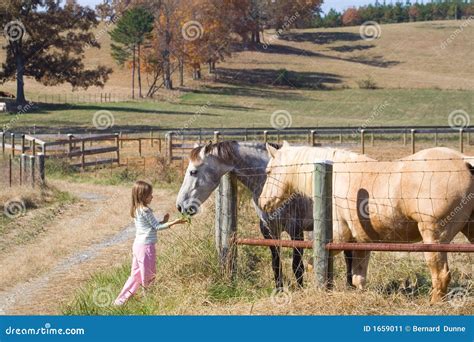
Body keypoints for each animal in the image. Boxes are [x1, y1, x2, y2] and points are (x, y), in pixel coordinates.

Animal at [176, 141, 354, 288]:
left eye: (193, 172)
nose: (180, 206)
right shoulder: (269, 230)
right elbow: (276, 263)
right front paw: (279, 290)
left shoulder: (295, 230)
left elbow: (297, 266)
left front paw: (301, 290)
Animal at [260, 143, 474, 304]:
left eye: (268, 171)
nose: (263, 203)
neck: (336, 176)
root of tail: (465, 161)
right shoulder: (362, 242)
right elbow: (358, 278)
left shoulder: (339, 238)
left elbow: (315, 265)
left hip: (434, 238)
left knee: (441, 275)